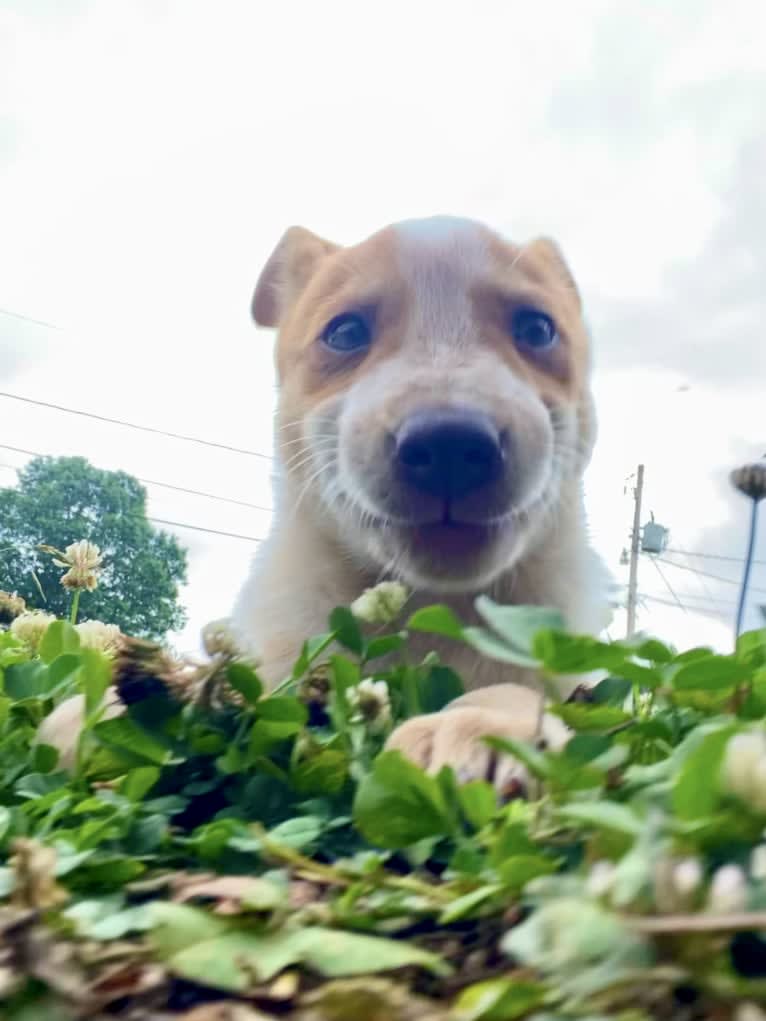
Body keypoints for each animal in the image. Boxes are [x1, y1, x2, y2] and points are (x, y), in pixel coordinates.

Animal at [230, 217, 608, 788]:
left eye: (538, 330)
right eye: (344, 333)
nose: (451, 445)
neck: (432, 604)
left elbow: (517, 689)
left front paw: (477, 723)